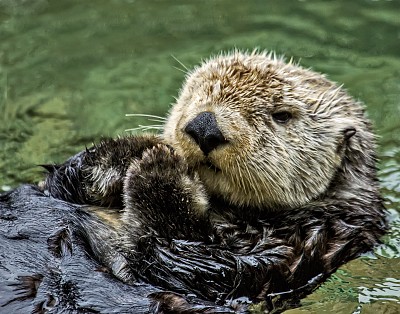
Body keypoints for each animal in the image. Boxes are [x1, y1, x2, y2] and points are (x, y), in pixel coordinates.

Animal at [0, 50, 388, 312]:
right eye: (197, 92)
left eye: (281, 115)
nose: (204, 125)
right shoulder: (54, 189)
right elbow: (61, 181)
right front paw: (134, 150)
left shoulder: (305, 243)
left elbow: (191, 259)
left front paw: (159, 171)